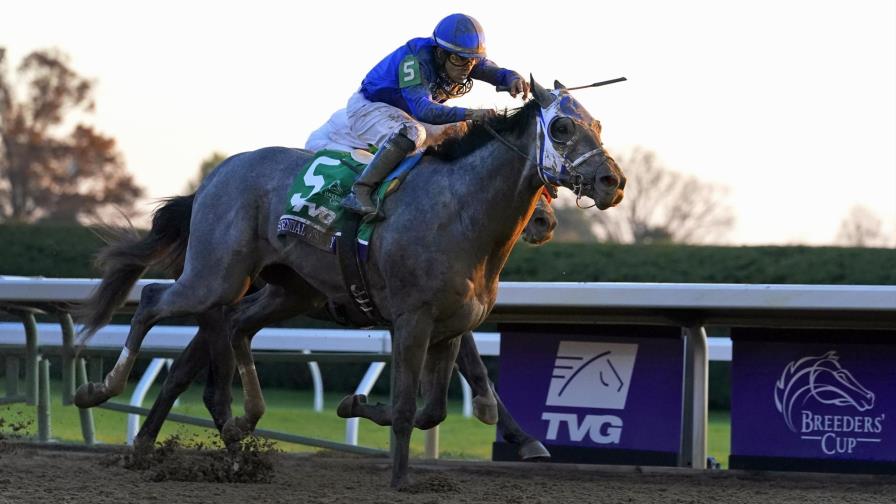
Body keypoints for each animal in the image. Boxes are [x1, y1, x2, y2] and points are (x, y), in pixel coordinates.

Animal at [75, 79, 624, 488]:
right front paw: (402, 479)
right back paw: (101, 391)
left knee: (224, 338)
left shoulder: (448, 327)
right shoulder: (412, 320)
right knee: (152, 302)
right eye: (561, 126)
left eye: (598, 125)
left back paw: (223, 437)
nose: (612, 182)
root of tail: (215, 176)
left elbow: (433, 409)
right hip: (214, 275)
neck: (460, 212)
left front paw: (355, 404)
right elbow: (408, 405)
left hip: (281, 289)